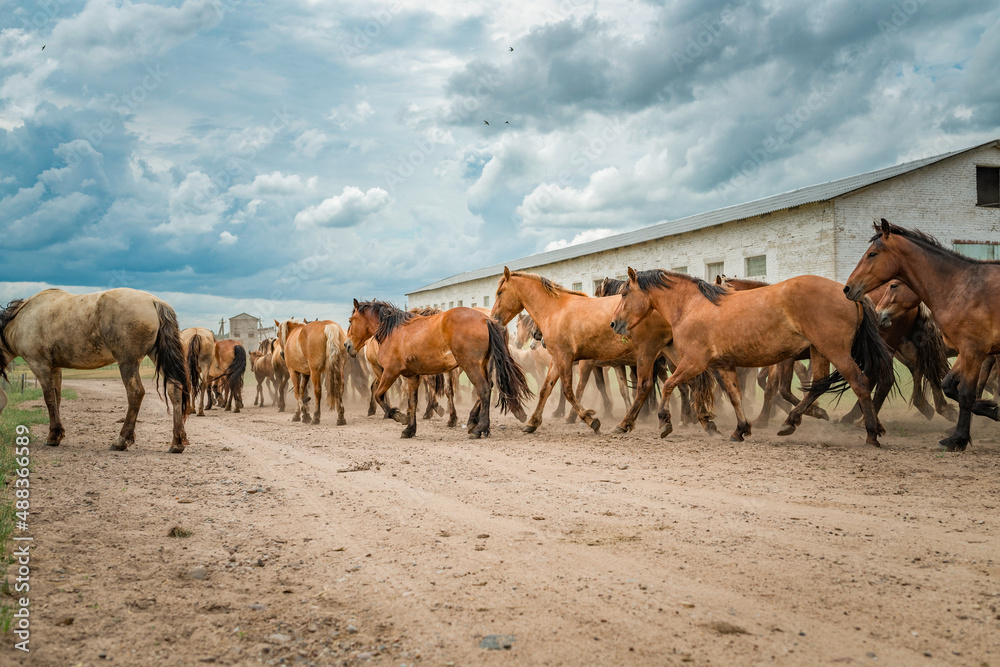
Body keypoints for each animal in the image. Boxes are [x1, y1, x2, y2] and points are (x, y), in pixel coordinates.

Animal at [0, 288, 191, 452]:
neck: (22, 318)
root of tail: (154, 301)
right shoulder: (55, 368)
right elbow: (57, 397)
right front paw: (58, 434)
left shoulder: (39, 365)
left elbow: (49, 399)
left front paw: (53, 436)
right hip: (156, 355)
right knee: (175, 390)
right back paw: (177, 443)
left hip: (127, 361)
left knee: (135, 392)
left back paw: (121, 440)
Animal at [345, 301, 531, 439]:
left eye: (350, 321)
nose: (347, 345)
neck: (394, 331)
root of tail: (486, 319)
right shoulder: (413, 376)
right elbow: (412, 402)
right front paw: (409, 429)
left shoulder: (390, 372)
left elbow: (379, 396)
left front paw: (399, 417)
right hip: (482, 364)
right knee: (488, 387)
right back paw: (478, 424)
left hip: (470, 365)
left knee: (484, 390)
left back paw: (479, 428)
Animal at [611, 268, 894, 446]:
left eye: (624, 293)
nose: (614, 324)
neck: (692, 306)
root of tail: (848, 292)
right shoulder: (724, 365)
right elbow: (735, 396)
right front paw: (740, 429)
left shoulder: (694, 362)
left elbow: (670, 385)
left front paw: (664, 422)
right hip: (819, 351)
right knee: (819, 386)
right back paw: (791, 422)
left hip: (835, 350)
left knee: (859, 383)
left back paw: (871, 434)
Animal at [844, 219, 1000, 451]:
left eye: (872, 254)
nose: (847, 288)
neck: (960, 287)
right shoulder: (966, 352)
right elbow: (949, 386)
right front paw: (990, 409)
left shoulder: (973, 351)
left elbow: (965, 393)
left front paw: (958, 438)